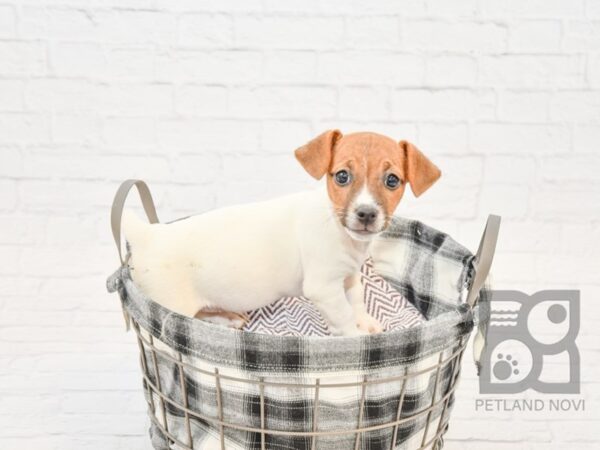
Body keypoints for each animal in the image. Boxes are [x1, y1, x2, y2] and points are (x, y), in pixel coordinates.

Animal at [123, 130, 440, 334]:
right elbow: (344, 318)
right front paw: (357, 337)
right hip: (169, 303)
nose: (366, 213)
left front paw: (366, 321)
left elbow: (358, 299)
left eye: (392, 180)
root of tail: (147, 236)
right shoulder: (324, 288)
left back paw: (228, 319)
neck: (338, 229)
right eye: (342, 176)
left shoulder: (350, 275)